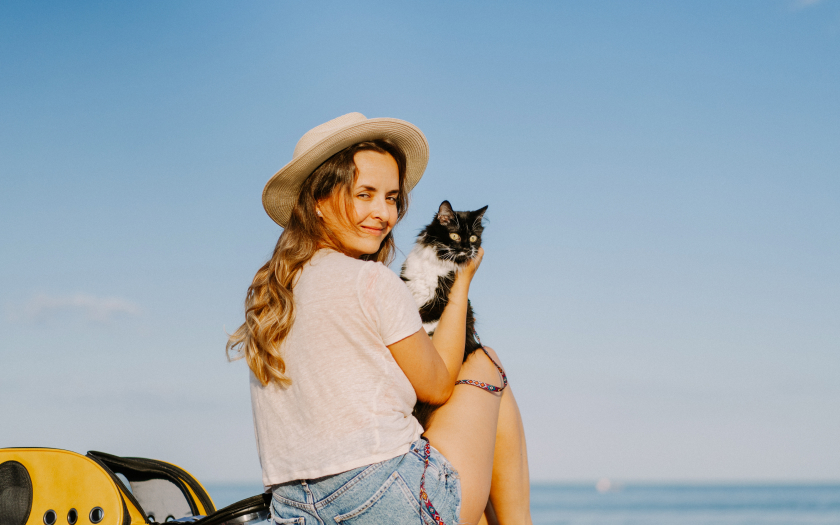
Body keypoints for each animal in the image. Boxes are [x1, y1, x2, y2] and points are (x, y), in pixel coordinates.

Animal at [398, 201, 486, 426]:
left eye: (473, 238)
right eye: (454, 235)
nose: (467, 248)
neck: (437, 263)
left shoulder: (436, 304)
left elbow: (425, 324)